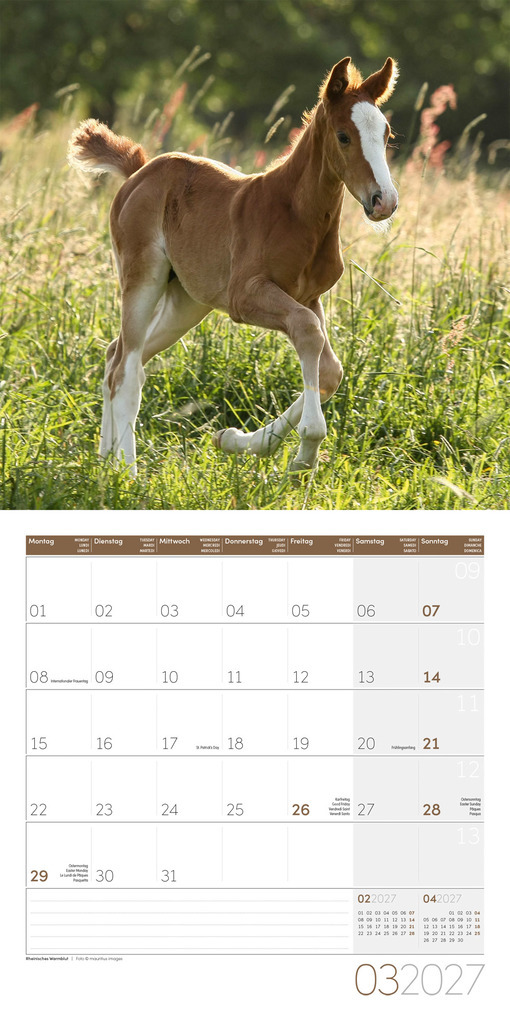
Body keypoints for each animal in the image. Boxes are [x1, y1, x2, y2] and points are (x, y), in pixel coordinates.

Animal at [68, 56, 398, 476]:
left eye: (386, 134)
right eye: (343, 136)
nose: (384, 201)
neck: (295, 212)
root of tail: (140, 170)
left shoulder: (309, 297)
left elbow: (330, 370)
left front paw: (237, 440)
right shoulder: (247, 296)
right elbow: (308, 333)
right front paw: (305, 451)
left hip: (188, 301)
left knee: (117, 356)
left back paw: (106, 460)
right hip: (143, 277)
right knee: (126, 371)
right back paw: (127, 472)